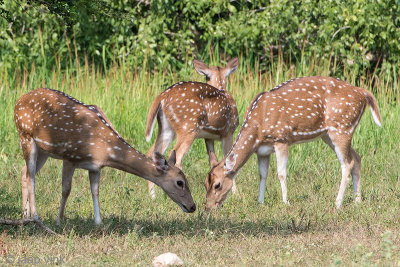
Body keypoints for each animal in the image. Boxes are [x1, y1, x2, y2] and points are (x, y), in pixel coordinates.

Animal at [14, 88, 196, 226]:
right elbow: (66, 189)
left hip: (43, 151)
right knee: (31, 176)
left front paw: (99, 222)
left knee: (24, 171)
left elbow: (95, 191)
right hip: (25, 135)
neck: (104, 150)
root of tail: (18, 101)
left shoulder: (95, 166)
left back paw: (25, 214)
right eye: (180, 182)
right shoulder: (70, 156)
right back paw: (35, 216)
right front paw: (59, 220)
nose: (192, 207)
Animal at [147, 58, 241, 199]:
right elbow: (229, 160)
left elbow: (212, 161)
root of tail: (162, 96)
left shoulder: (209, 137)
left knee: (152, 153)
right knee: (176, 157)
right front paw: (236, 194)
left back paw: (152, 196)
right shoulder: (228, 132)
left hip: (166, 129)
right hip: (188, 127)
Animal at [205, 76, 382, 211]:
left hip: (341, 128)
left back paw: (337, 203)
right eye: (205, 184)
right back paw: (357, 200)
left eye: (217, 185)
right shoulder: (263, 150)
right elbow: (262, 174)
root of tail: (364, 93)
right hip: (330, 134)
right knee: (357, 158)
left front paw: (285, 202)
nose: (208, 206)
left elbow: (281, 173)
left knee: (347, 163)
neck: (258, 128)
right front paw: (260, 201)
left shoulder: (282, 139)